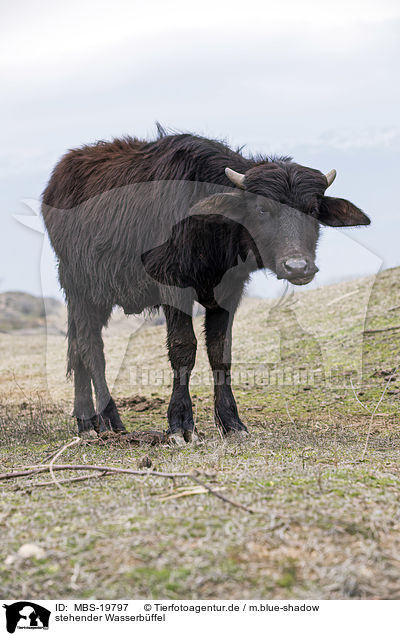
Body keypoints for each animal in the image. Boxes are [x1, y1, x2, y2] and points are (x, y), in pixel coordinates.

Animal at [42, 125, 370, 442]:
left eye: (312, 210)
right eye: (262, 209)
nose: (298, 266)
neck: (208, 225)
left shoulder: (229, 291)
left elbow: (220, 351)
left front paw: (232, 423)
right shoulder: (172, 283)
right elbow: (183, 347)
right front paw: (180, 425)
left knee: (77, 349)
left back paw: (87, 421)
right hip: (80, 287)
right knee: (91, 348)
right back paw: (107, 421)